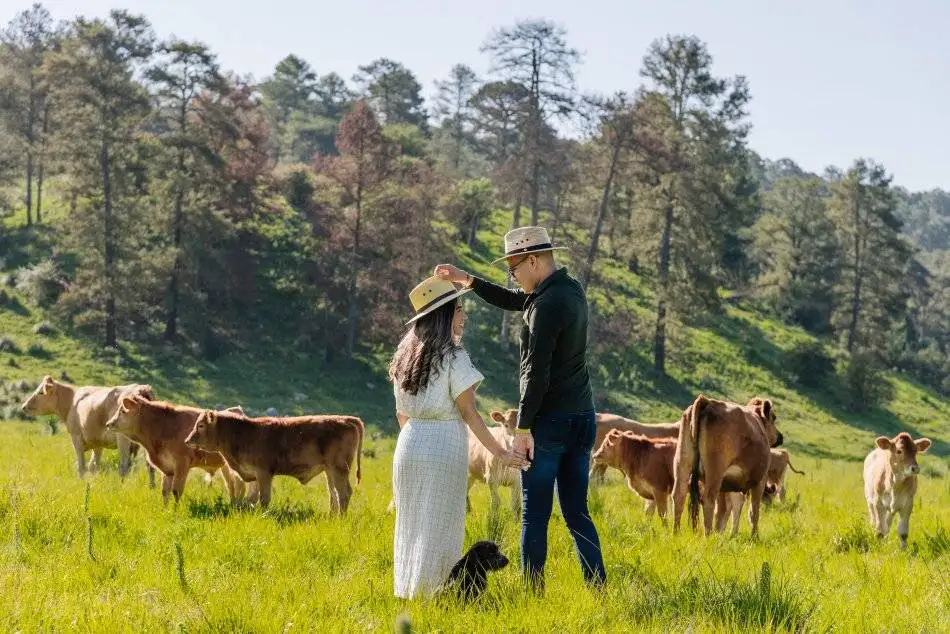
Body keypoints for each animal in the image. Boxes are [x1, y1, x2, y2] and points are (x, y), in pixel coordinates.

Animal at [19, 372, 157, 482]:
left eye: (40, 392)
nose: (24, 406)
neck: (71, 401)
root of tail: (141, 388)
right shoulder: (97, 442)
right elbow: (93, 465)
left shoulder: (76, 436)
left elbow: (81, 465)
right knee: (150, 465)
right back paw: (151, 488)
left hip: (123, 439)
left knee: (125, 465)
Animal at [185, 404, 364, 512]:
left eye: (200, 425)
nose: (187, 441)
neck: (244, 433)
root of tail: (346, 419)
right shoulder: (255, 476)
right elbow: (251, 499)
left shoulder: (264, 474)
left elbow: (263, 499)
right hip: (329, 471)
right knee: (333, 494)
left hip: (338, 469)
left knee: (343, 493)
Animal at [668, 392, 780, 536]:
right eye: (774, 417)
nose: (780, 437)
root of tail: (707, 401)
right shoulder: (760, 480)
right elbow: (753, 511)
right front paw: (754, 536)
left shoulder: (725, 485)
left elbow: (722, 511)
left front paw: (720, 534)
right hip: (715, 472)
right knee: (708, 500)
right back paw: (708, 535)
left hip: (682, 463)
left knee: (679, 495)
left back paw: (676, 533)